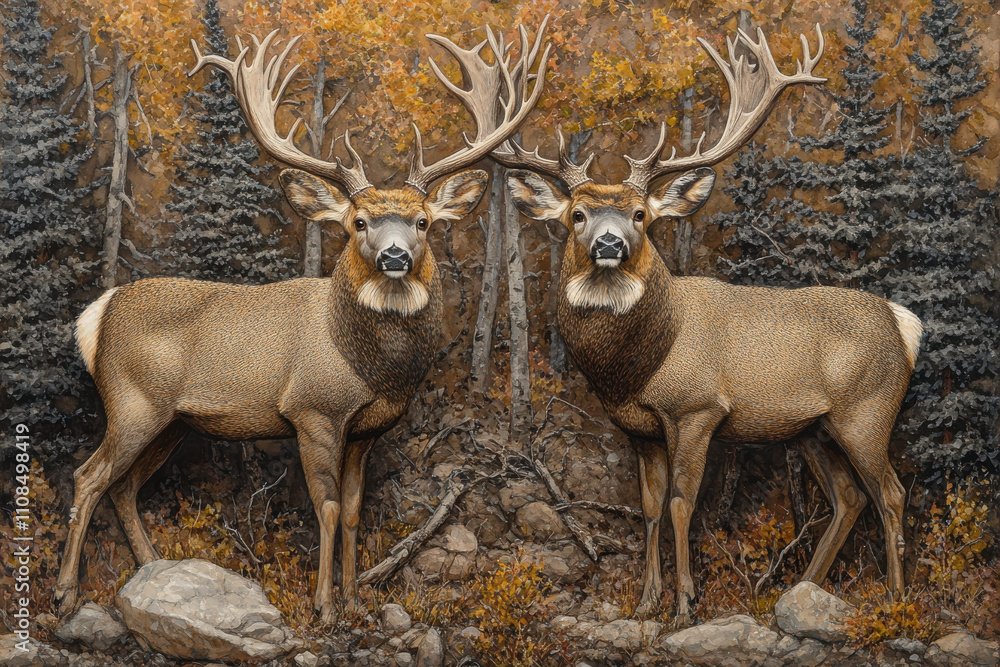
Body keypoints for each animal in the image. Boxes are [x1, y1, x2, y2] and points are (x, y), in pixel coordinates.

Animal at [55, 22, 551, 622]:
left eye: (423, 222)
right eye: (358, 221)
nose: (394, 256)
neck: (371, 367)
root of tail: (97, 313)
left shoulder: (366, 430)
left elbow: (357, 511)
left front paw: (356, 601)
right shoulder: (313, 411)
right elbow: (329, 508)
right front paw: (326, 609)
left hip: (172, 421)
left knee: (124, 488)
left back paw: (152, 571)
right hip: (133, 402)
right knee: (88, 477)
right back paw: (66, 592)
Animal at [500, 25, 922, 624]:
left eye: (640, 215)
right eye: (577, 214)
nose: (610, 243)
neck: (638, 364)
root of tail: (903, 323)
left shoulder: (697, 408)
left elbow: (682, 502)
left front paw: (684, 604)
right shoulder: (641, 429)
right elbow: (650, 506)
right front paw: (645, 602)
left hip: (867, 411)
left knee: (890, 492)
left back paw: (895, 598)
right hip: (814, 429)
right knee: (850, 496)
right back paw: (801, 591)